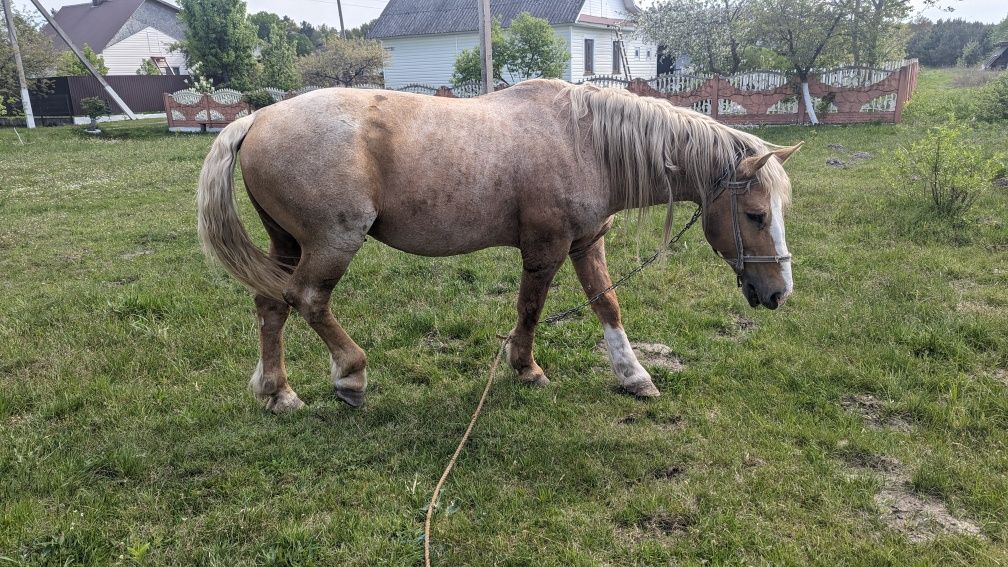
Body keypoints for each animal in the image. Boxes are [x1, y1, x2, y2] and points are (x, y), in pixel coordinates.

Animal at [194, 78, 794, 409]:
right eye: (756, 214)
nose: (778, 293)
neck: (585, 141)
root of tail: (258, 117)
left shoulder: (587, 243)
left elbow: (607, 305)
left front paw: (634, 375)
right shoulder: (546, 249)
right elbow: (529, 309)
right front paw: (526, 368)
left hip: (288, 245)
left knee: (272, 303)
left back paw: (277, 391)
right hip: (332, 242)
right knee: (310, 301)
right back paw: (351, 375)